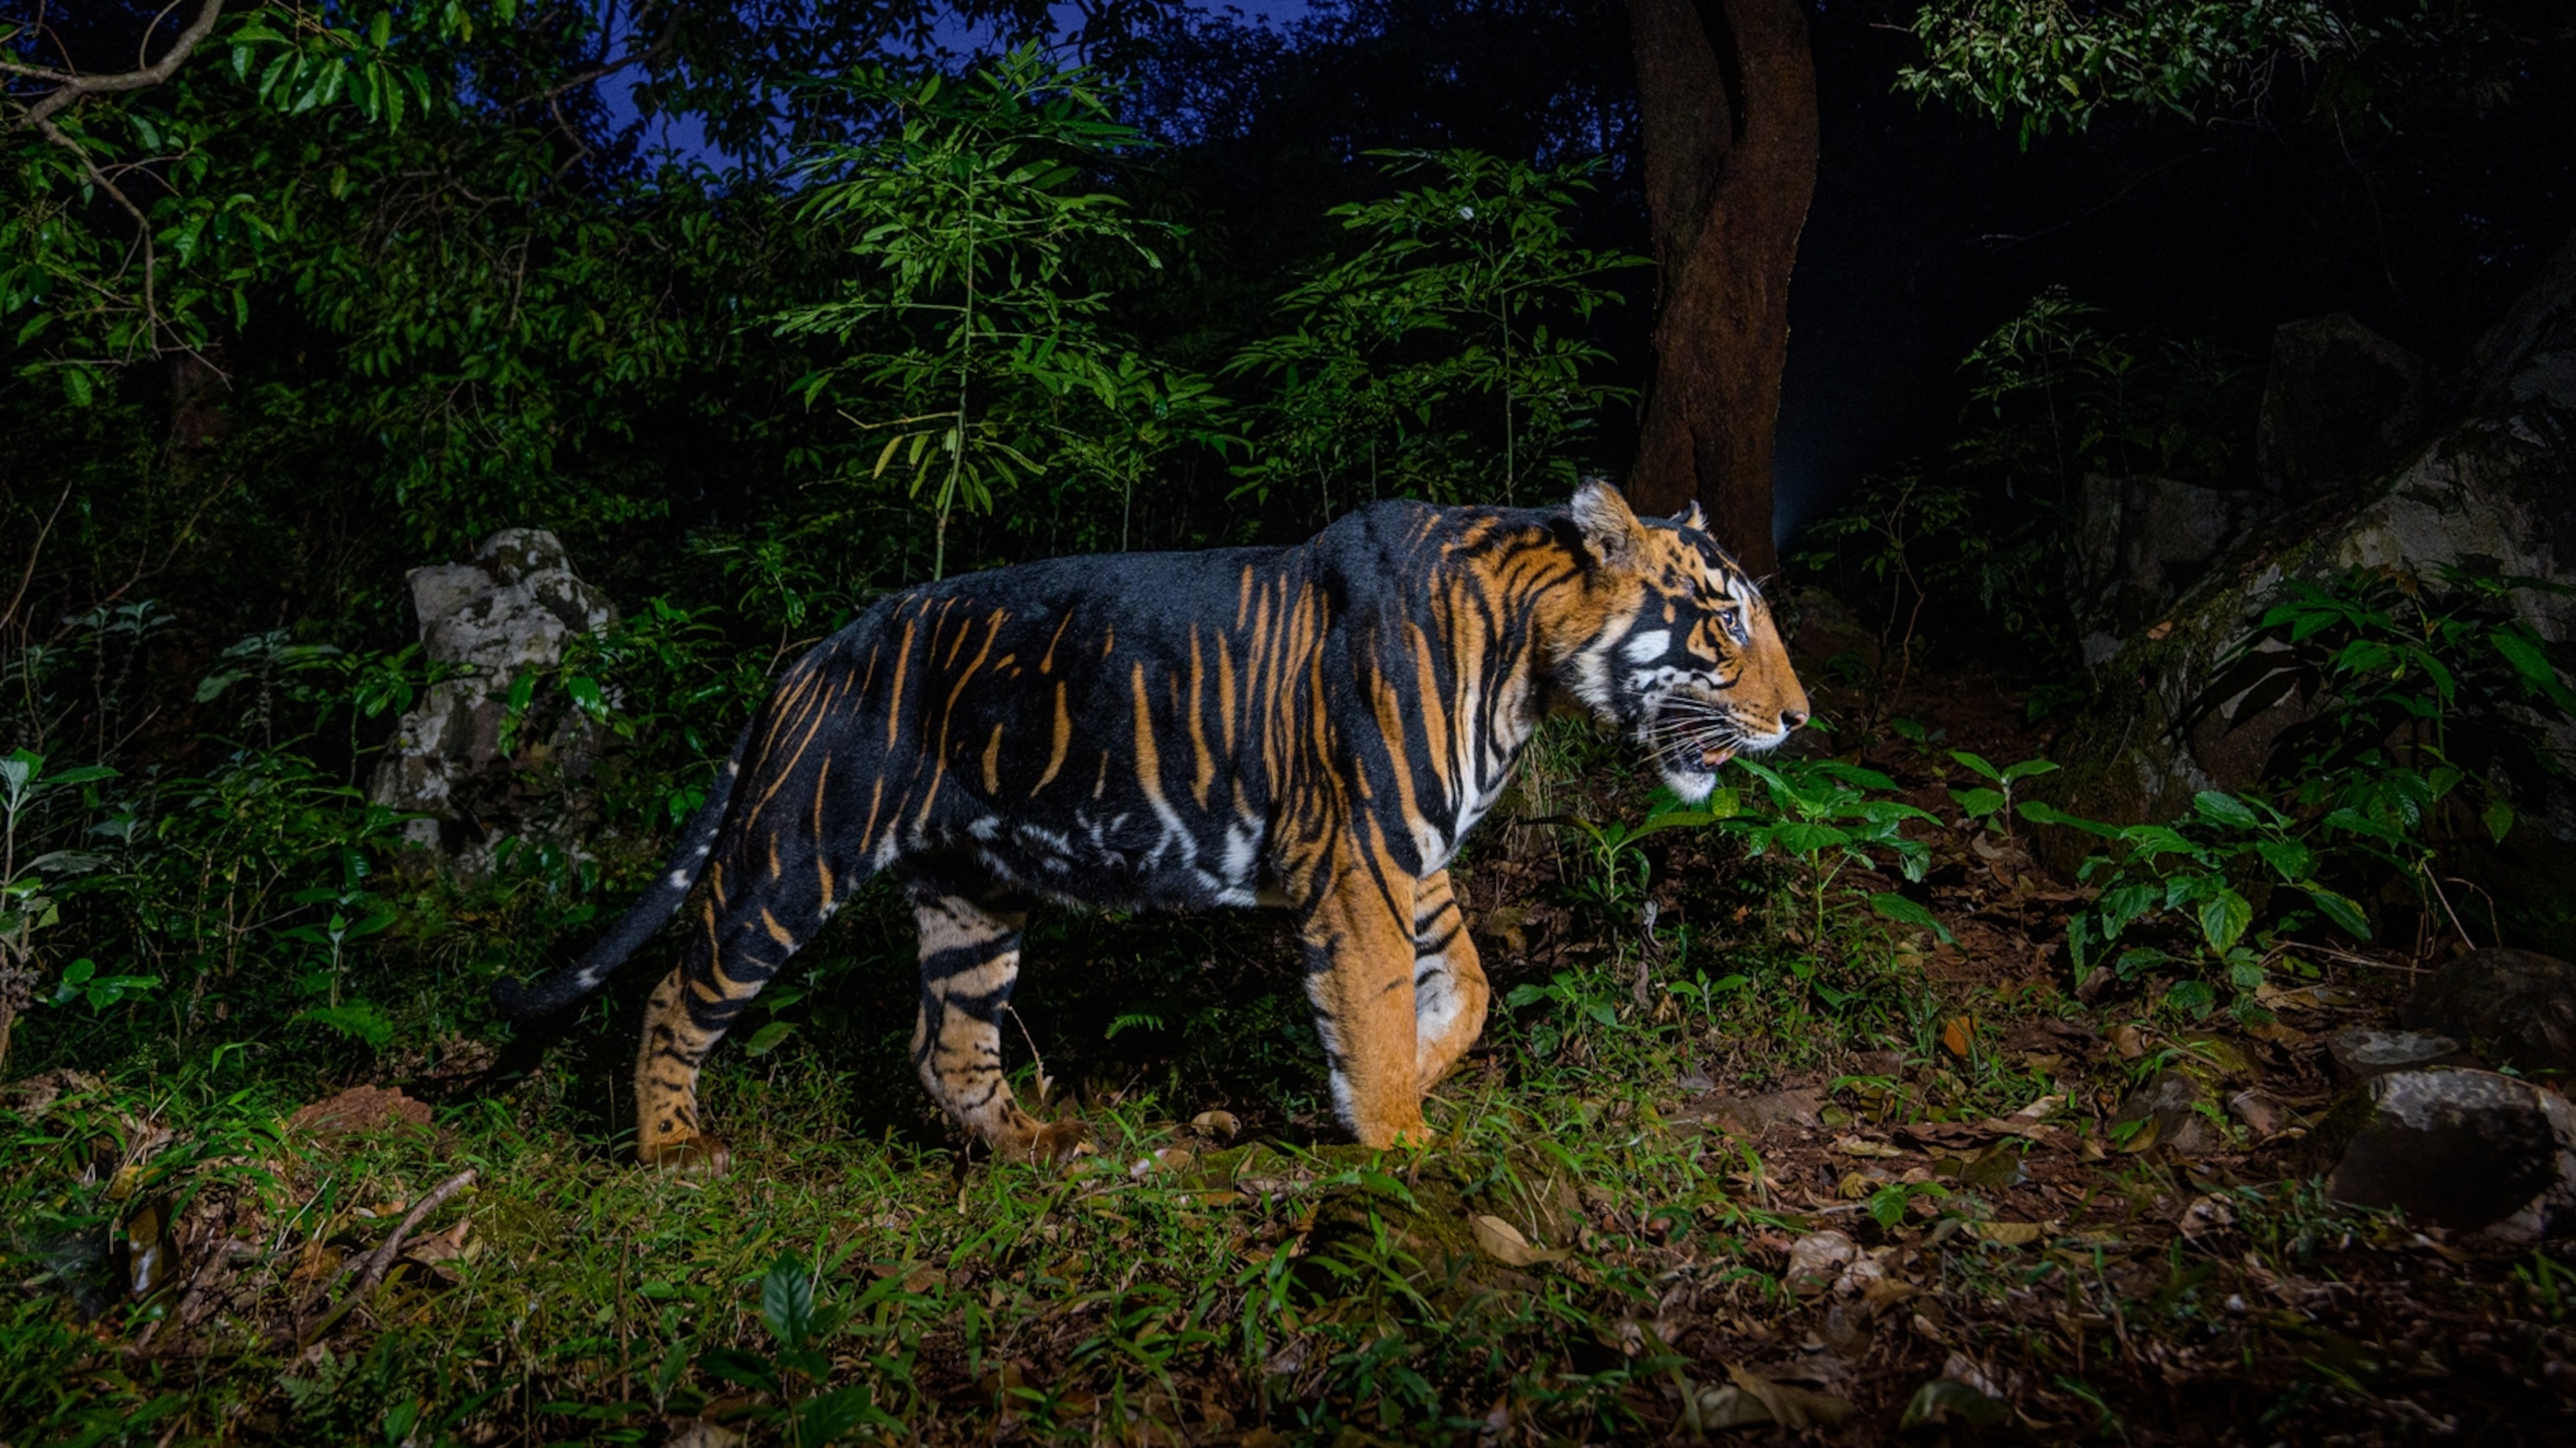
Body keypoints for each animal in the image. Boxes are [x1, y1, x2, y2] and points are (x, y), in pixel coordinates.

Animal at [495, 482, 1810, 1170]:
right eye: (1724, 622)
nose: (1801, 718)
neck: (1529, 665)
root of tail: (815, 651)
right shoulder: (1366, 854)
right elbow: (1378, 1000)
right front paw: (1395, 1134)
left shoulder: (1408, 851)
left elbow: (1470, 985)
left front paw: (1417, 1074)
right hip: (792, 853)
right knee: (678, 993)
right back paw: (672, 1147)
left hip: (975, 898)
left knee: (946, 1046)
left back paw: (1041, 1143)